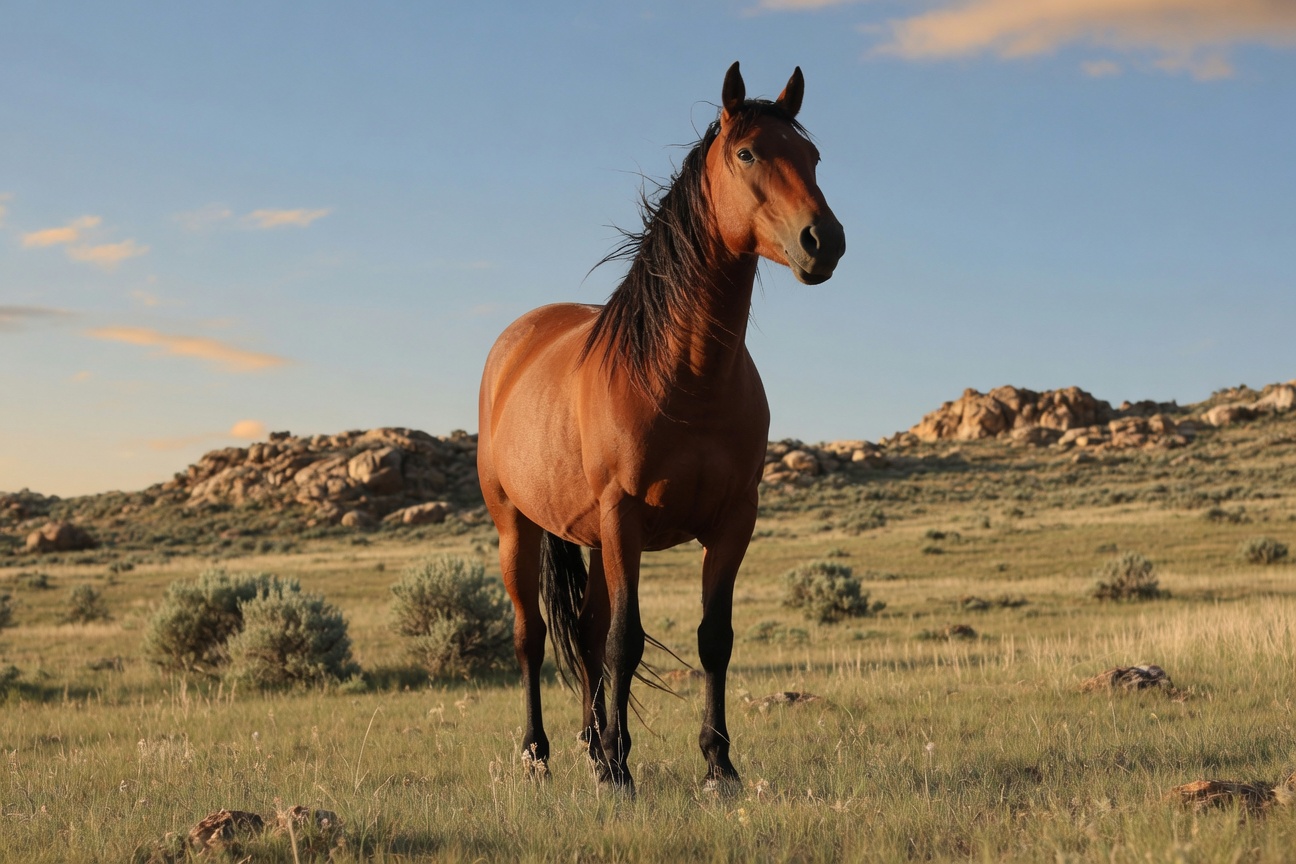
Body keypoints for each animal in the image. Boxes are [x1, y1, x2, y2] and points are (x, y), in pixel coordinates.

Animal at [477, 61, 845, 791]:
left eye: (813, 157)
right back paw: (539, 754)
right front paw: (622, 770)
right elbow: (628, 639)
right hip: (517, 527)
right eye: (747, 153)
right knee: (534, 636)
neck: (686, 378)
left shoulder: (733, 521)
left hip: (588, 535)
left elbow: (712, 639)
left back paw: (592, 747)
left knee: (585, 633)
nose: (825, 242)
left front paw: (718, 765)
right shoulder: (624, 516)